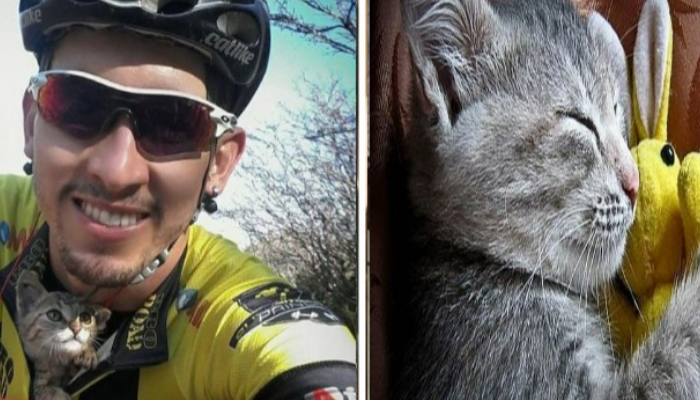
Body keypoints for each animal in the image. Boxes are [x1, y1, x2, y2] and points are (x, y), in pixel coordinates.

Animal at [15, 270, 110, 400]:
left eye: (85, 317)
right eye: (54, 315)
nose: (76, 328)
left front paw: (87, 352)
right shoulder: (39, 382)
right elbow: (42, 390)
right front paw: (58, 394)